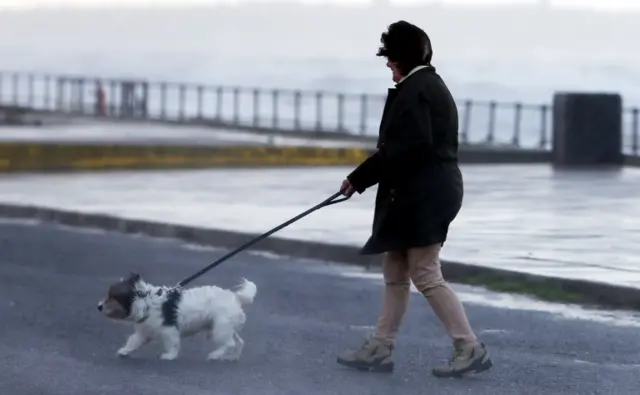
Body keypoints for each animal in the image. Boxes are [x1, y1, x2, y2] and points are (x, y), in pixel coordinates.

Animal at [96, 276, 256, 362]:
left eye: (112, 297)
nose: (98, 306)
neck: (146, 303)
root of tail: (237, 298)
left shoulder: (169, 331)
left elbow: (172, 344)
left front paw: (169, 356)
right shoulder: (144, 332)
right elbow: (133, 342)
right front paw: (125, 351)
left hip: (220, 328)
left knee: (229, 344)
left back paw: (215, 355)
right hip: (226, 327)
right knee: (239, 342)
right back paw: (233, 357)